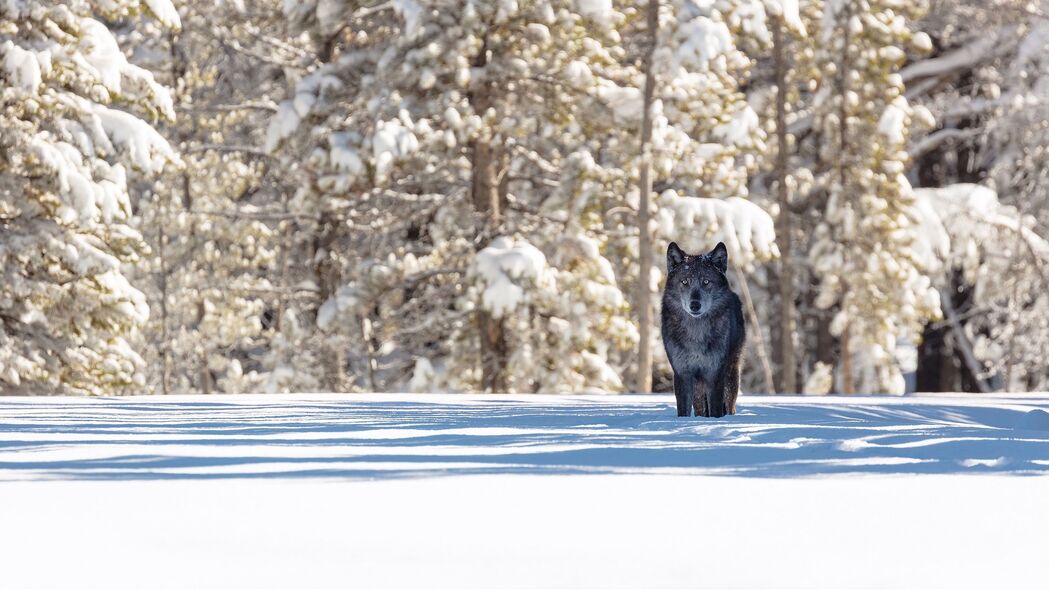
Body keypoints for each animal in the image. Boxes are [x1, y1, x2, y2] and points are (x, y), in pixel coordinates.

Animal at [662, 241, 746, 415]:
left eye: (706, 282)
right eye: (684, 282)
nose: (695, 305)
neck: (696, 332)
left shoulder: (715, 374)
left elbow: (716, 411)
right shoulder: (682, 374)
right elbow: (683, 411)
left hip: (731, 374)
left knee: (730, 406)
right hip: (698, 387)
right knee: (700, 408)